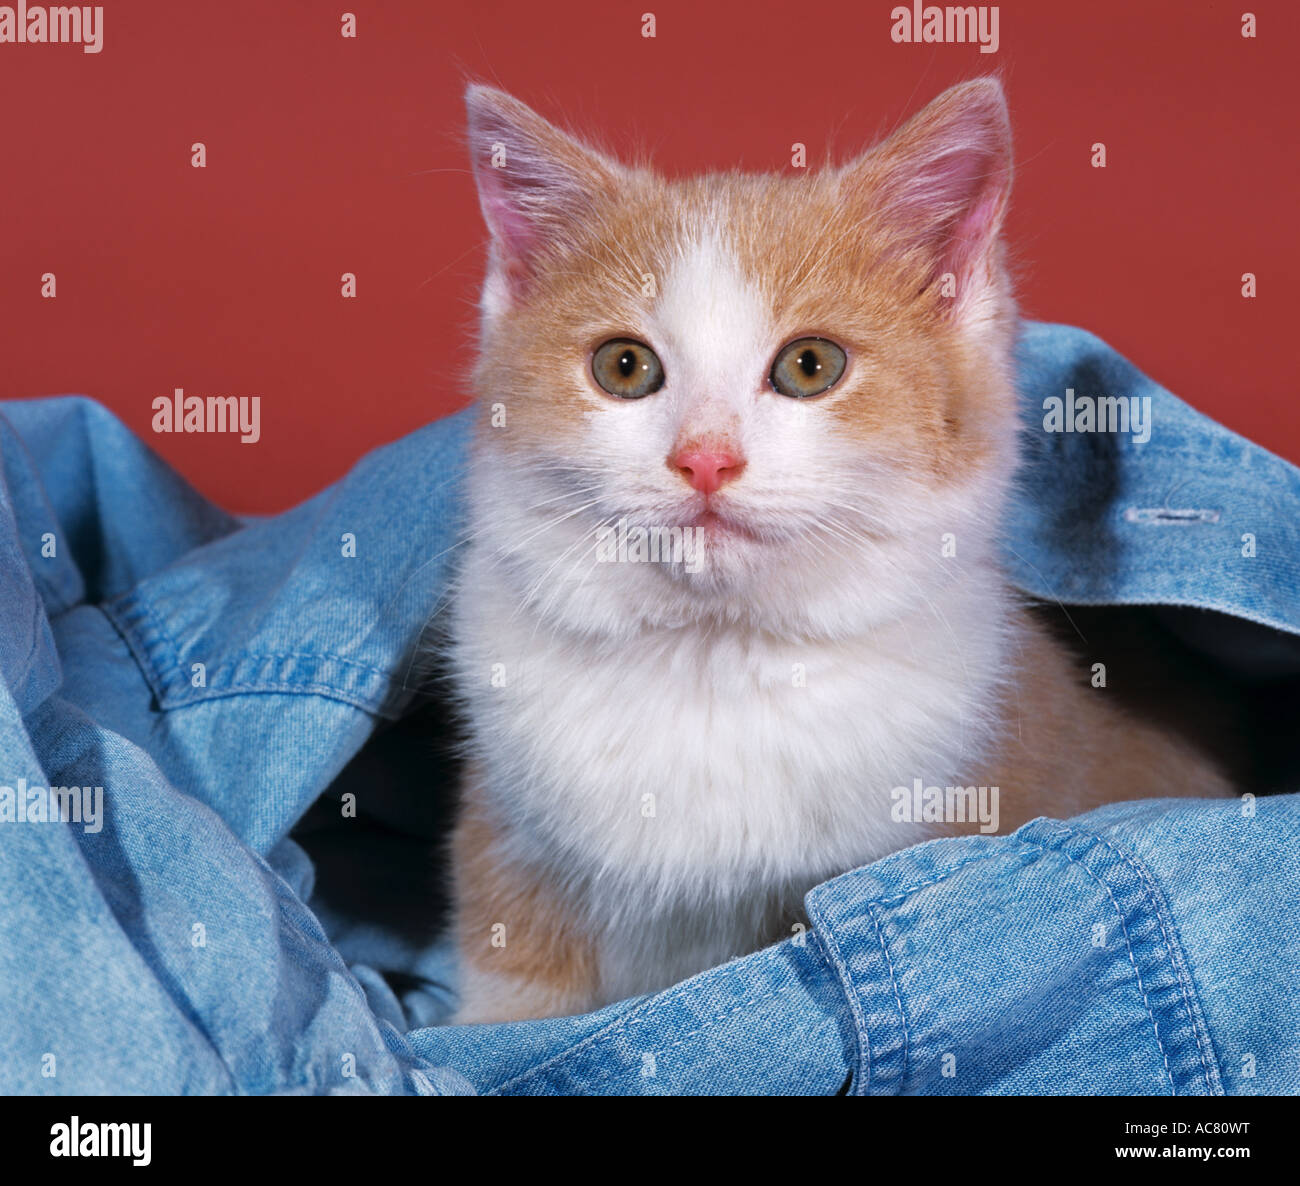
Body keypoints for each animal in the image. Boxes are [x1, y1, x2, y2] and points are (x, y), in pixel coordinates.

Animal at [447, 78, 1227, 1024]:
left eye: (811, 365)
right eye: (624, 366)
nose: (705, 458)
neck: (714, 660)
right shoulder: (505, 827)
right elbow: (513, 1001)